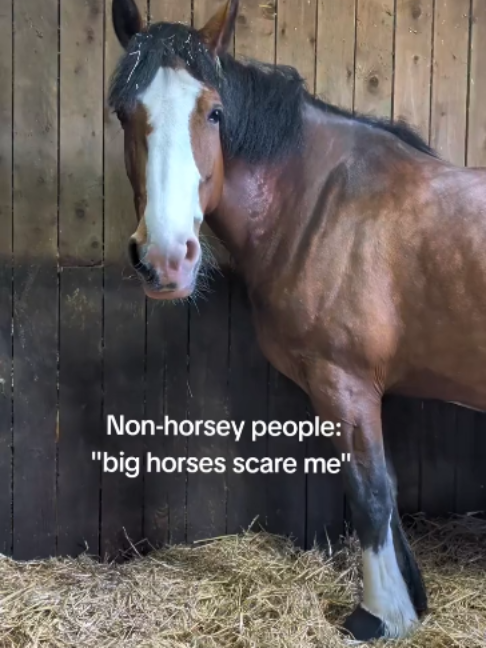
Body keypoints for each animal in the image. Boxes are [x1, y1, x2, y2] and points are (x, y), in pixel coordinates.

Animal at [108, 0, 486, 641]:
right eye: (122, 112)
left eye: (213, 112)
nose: (166, 257)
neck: (322, 203)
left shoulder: (345, 383)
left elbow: (370, 493)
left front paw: (380, 615)